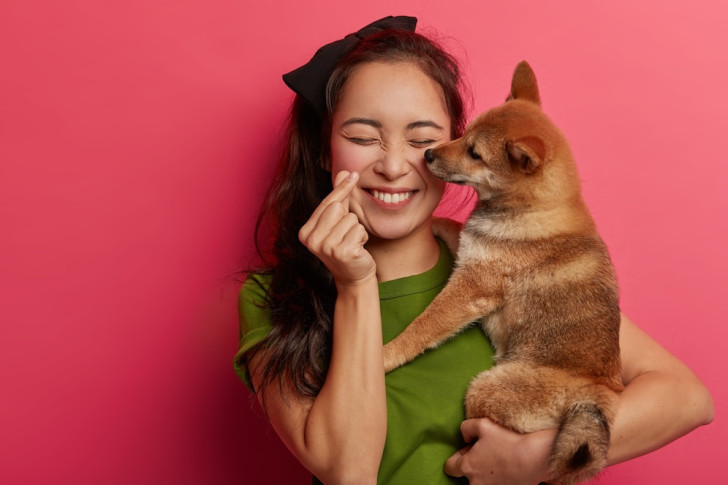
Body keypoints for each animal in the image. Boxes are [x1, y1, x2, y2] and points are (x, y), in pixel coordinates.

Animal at [384, 61, 624, 484]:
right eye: (464, 134)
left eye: (475, 153)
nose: (428, 153)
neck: (533, 210)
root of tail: (597, 394)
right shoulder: (472, 250)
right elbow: (455, 227)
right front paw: (435, 225)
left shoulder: (469, 289)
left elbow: (422, 328)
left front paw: (389, 354)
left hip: (484, 388)